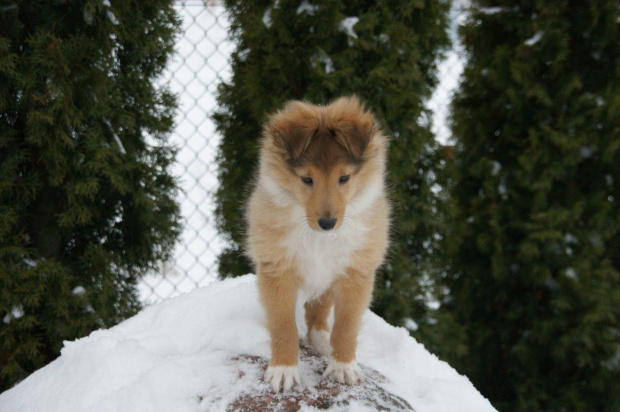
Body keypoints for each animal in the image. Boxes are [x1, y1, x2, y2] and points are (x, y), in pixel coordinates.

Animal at [246, 95, 388, 392]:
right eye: (307, 179)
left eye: (344, 178)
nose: (328, 222)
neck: (319, 237)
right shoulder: (277, 270)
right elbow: (283, 325)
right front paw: (283, 371)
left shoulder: (355, 273)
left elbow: (346, 325)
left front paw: (343, 366)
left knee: (319, 312)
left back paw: (323, 341)